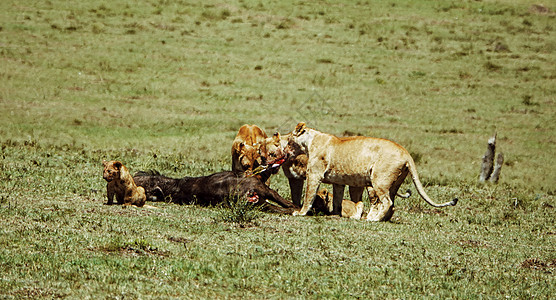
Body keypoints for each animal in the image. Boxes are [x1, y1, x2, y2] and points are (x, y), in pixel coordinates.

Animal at [286, 122, 456, 223]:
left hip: (379, 180)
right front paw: (335, 213)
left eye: (288, 141)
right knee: (392, 204)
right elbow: (337, 199)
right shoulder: (338, 181)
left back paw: (373, 219)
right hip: (394, 183)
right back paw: (379, 219)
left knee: (387, 202)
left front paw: (300, 212)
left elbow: (309, 195)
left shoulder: (314, 175)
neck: (310, 141)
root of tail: (406, 152)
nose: (285, 150)